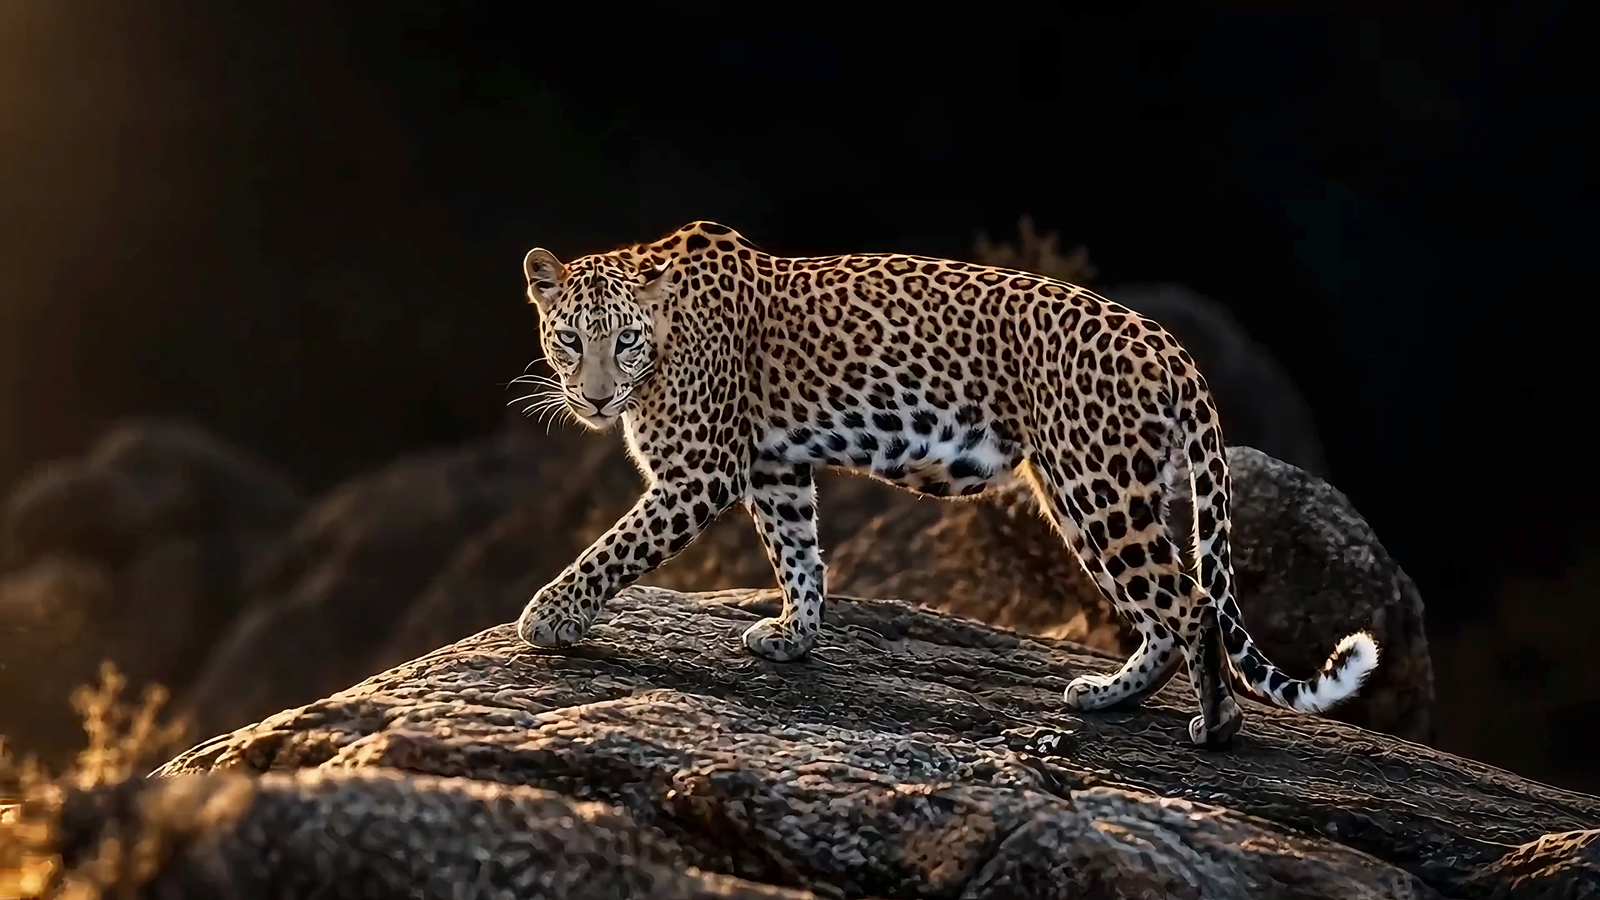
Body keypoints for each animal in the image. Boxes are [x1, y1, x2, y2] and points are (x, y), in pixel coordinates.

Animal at [511, 220, 1379, 747]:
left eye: (623, 341)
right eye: (568, 339)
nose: (595, 399)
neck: (664, 340)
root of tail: (1168, 343)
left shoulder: (700, 471)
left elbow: (612, 548)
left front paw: (547, 618)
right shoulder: (775, 468)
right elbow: (798, 553)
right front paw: (795, 637)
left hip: (1098, 486)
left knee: (1190, 601)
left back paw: (1218, 726)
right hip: (1091, 493)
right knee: (1162, 610)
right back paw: (1107, 694)